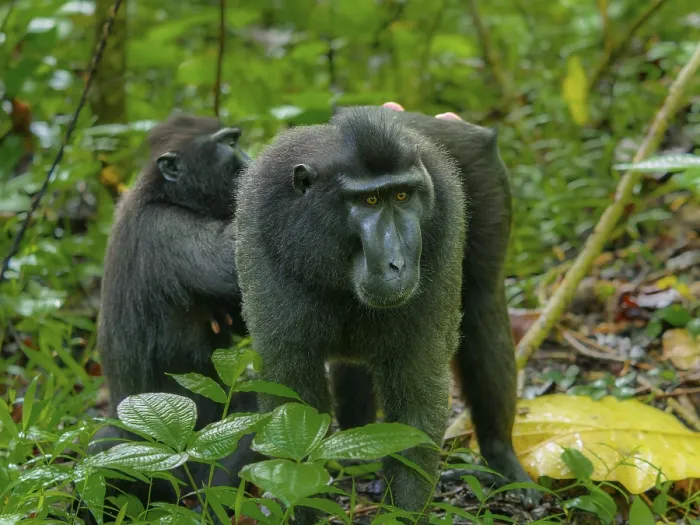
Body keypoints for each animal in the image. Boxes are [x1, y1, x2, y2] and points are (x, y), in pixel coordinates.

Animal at [88, 113, 258, 520]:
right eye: (229, 143)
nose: (248, 160)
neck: (165, 195)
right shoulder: (175, 231)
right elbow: (237, 257)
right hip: (163, 467)